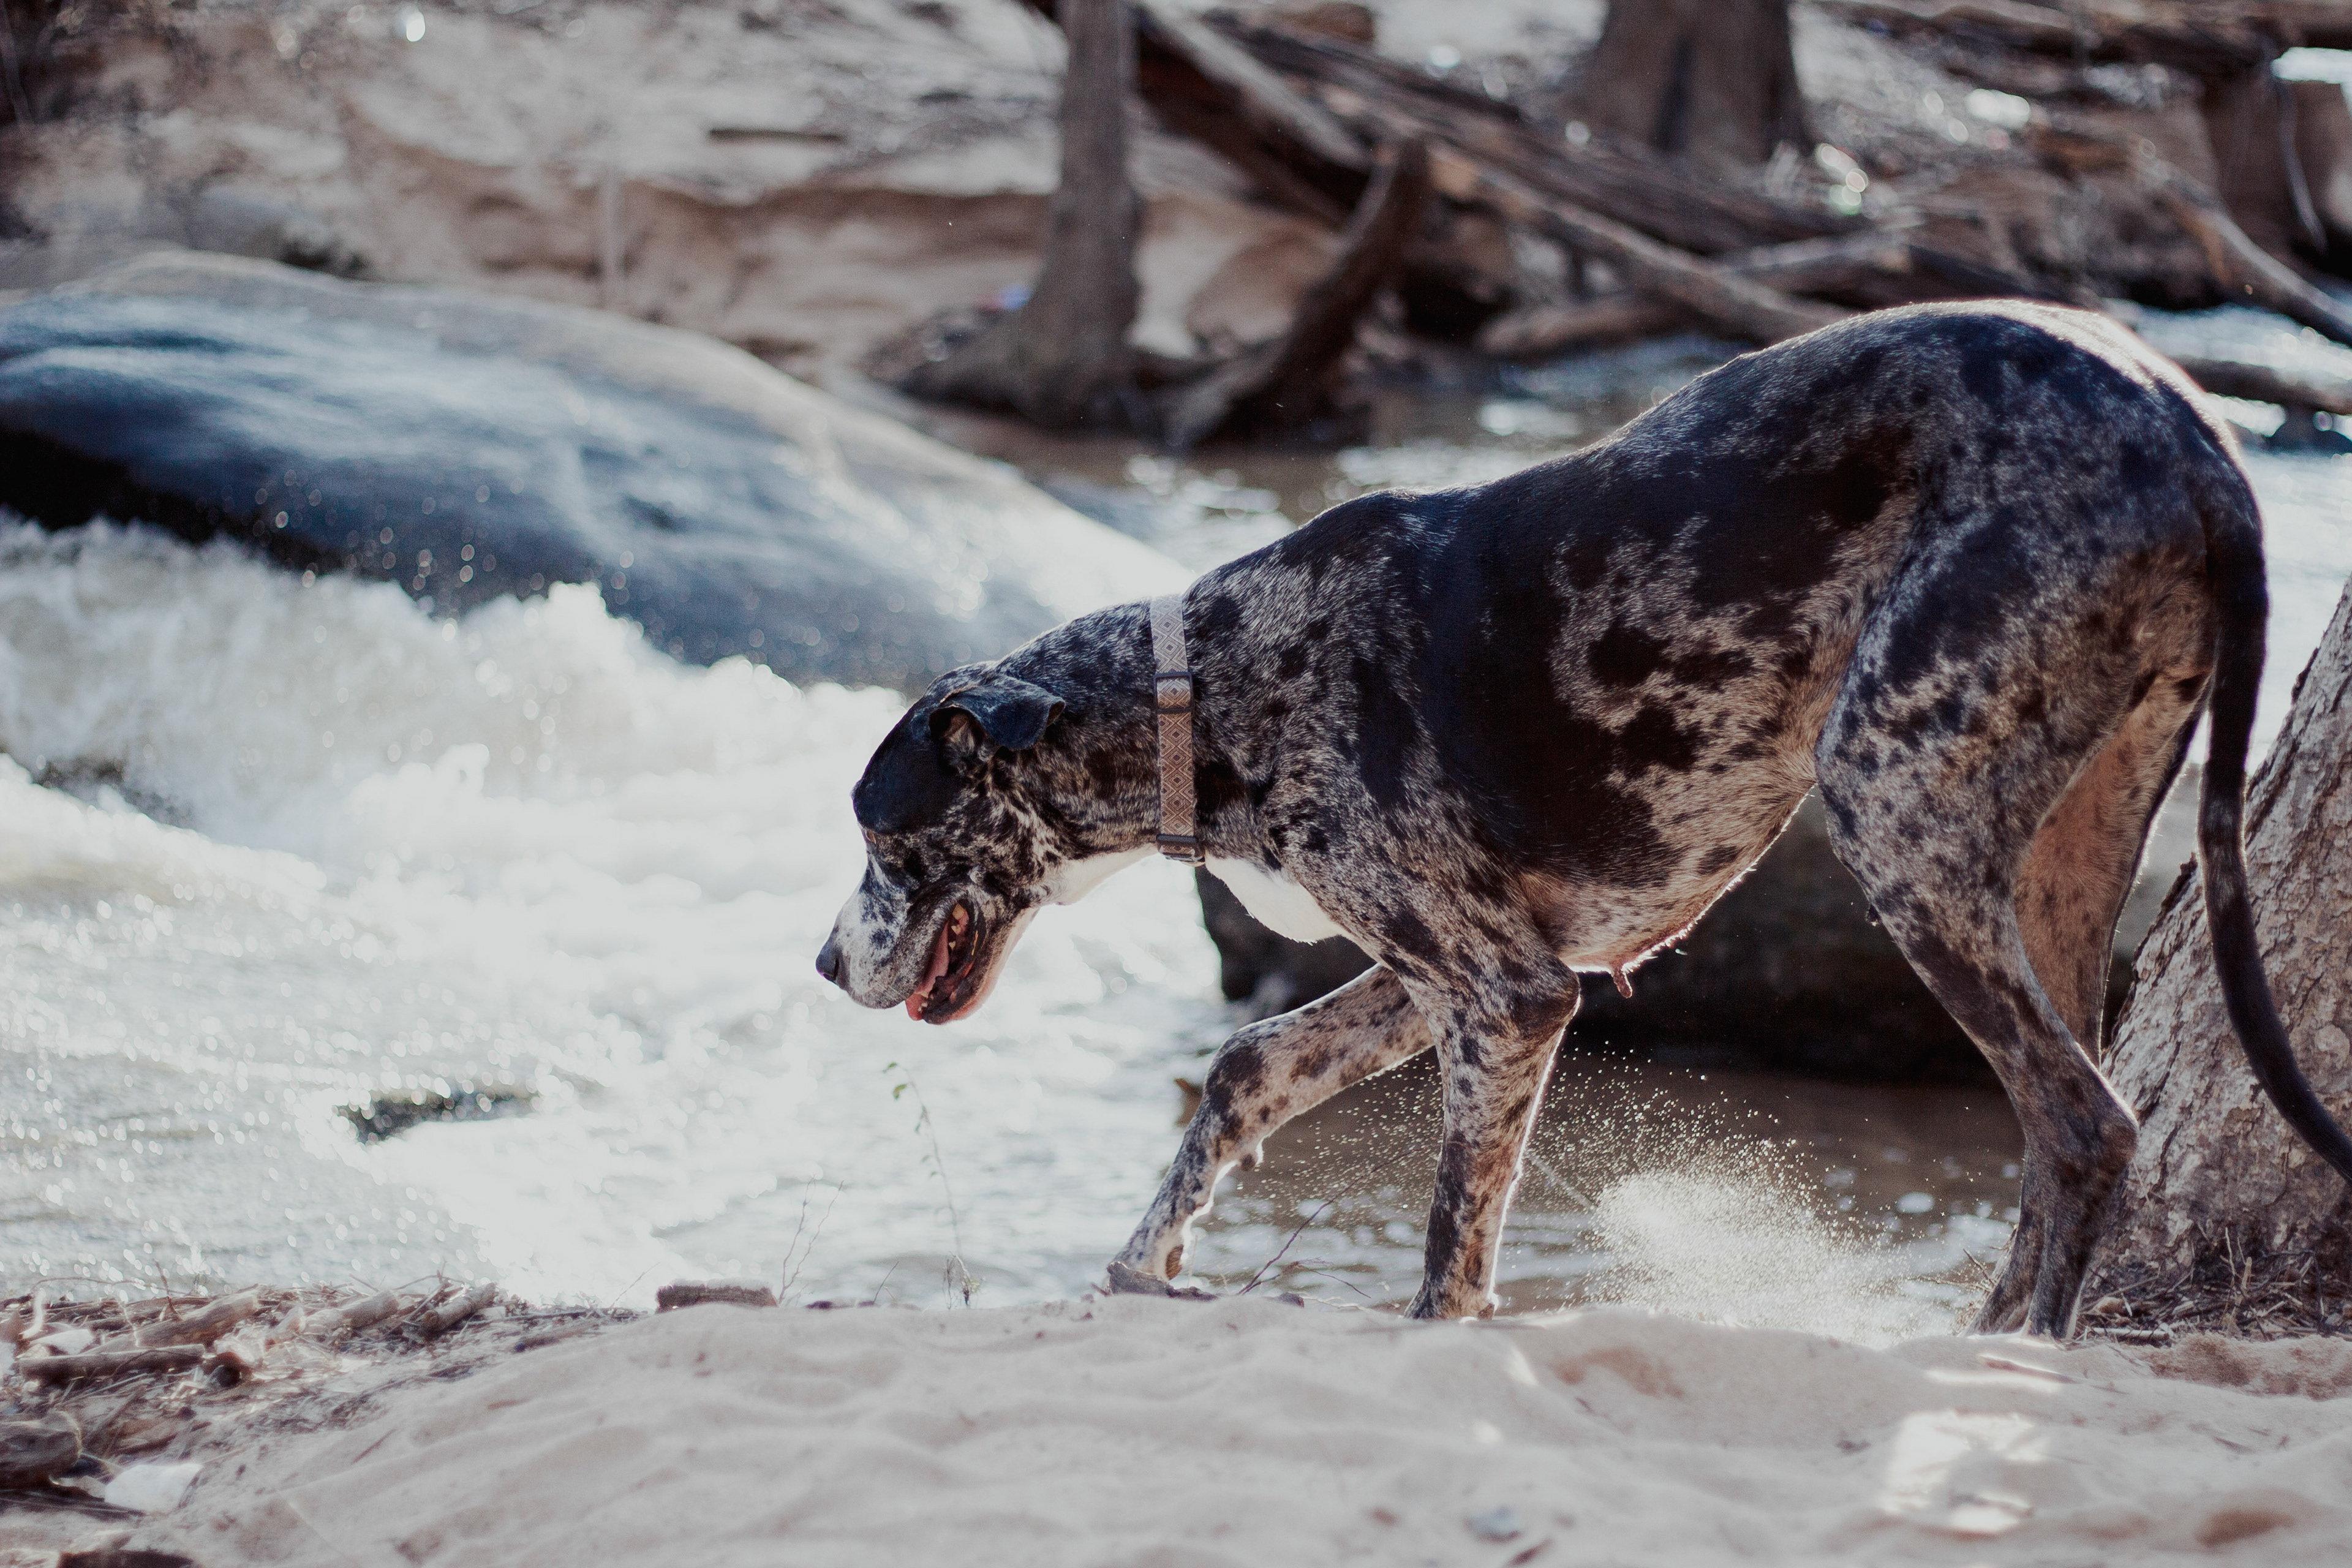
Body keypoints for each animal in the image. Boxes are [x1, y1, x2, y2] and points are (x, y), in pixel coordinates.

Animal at [816, 301, 2352, 1335]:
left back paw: (2022, 1359)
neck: (1215, 679)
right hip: (2062, 862)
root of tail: (2188, 425)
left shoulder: (1508, 997)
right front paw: (1149, 1262)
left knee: (2087, 1120)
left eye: (884, 839)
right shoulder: (1436, 976)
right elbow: (1247, 1066)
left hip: (1894, 811)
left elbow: (1454, 1237)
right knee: (2055, 1126)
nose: (826, 964)